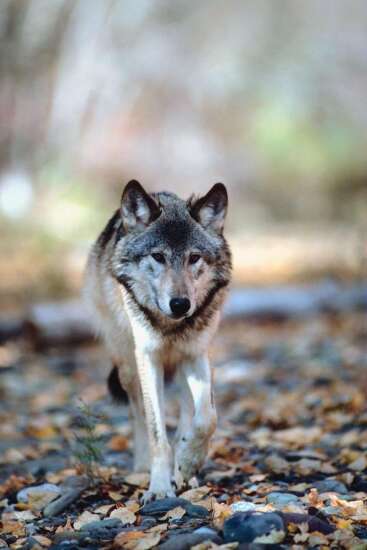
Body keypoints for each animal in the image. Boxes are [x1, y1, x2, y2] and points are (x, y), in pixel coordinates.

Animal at [85, 182, 231, 504]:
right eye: (158, 257)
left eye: (194, 257)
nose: (180, 304)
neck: (171, 327)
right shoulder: (148, 359)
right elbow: (156, 431)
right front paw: (160, 487)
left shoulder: (196, 354)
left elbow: (208, 418)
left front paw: (188, 461)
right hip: (128, 367)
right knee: (136, 412)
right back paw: (143, 467)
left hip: (182, 368)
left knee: (189, 415)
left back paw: (186, 469)